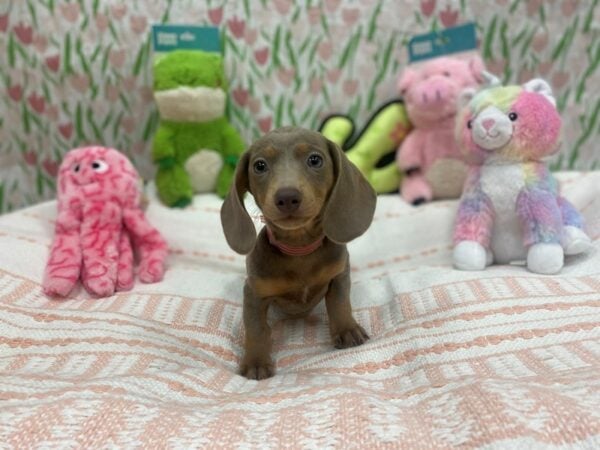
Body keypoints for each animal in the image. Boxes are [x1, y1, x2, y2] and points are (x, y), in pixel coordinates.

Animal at [220, 126, 378, 380]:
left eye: (315, 160)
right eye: (259, 165)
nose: (286, 197)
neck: (299, 249)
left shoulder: (339, 274)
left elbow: (340, 303)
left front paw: (347, 329)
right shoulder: (253, 294)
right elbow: (256, 328)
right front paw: (256, 361)